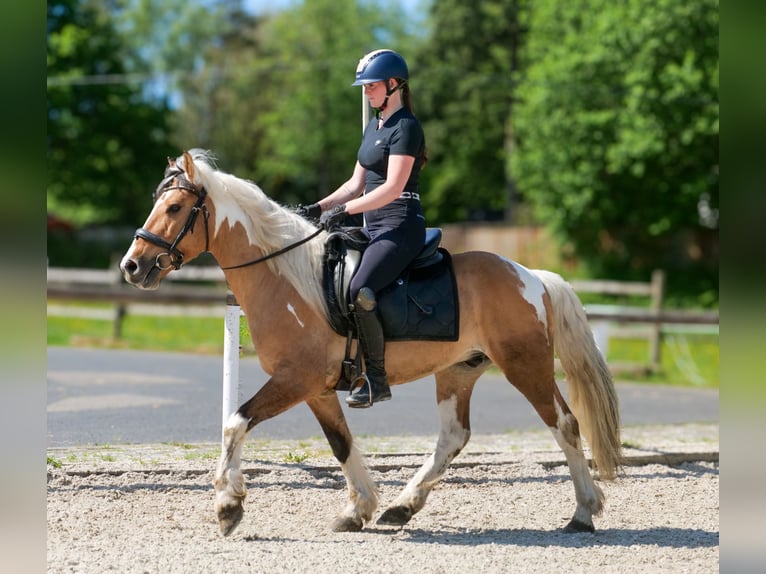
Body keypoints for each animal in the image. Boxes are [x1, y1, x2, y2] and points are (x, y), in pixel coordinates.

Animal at [120, 149, 622, 537]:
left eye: (175, 208)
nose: (131, 266)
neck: (285, 278)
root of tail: (530, 275)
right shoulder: (316, 389)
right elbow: (340, 444)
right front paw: (358, 509)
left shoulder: (295, 380)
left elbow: (235, 423)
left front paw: (228, 507)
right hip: (458, 371)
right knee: (453, 437)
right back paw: (402, 507)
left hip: (526, 366)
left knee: (565, 424)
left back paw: (583, 512)